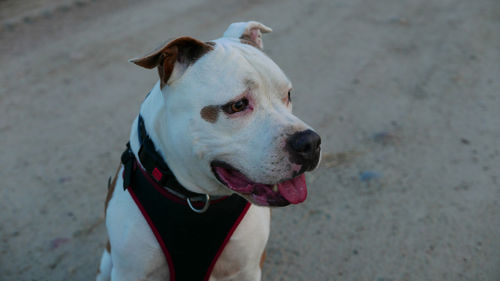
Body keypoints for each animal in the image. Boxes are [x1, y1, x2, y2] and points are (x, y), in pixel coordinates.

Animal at [97, 21, 322, 280]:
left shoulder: (247, 267)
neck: (197, 199)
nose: (310, 143)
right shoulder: (131, 272)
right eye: (238, 105)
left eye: (288, 94)